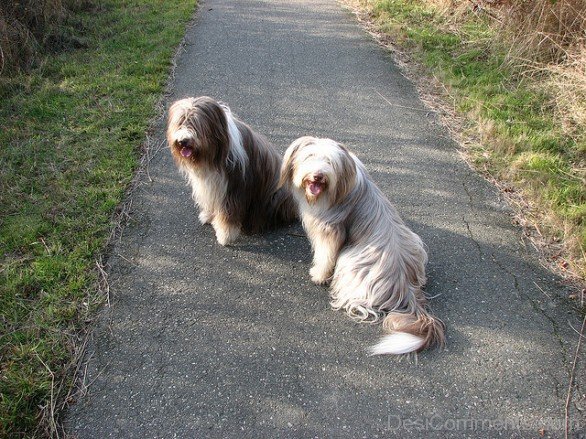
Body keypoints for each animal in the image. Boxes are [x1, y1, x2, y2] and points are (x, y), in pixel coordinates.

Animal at [165, 96, 296, 246]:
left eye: (196, 124)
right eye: (180, 122)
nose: (183, 141)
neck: (213, 153)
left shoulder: (234, 187)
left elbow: (228, 214)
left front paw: (225, 235)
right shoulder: (211, 185)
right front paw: (208, 215)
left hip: (274, 197)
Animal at [278, 136, 442, 356]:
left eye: (330, 162)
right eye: (310, 156)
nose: (318, 176)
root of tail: (406, 288)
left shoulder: (330, 229)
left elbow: (326, 255)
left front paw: (318, 275)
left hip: (351, 262)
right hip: (415, 242)